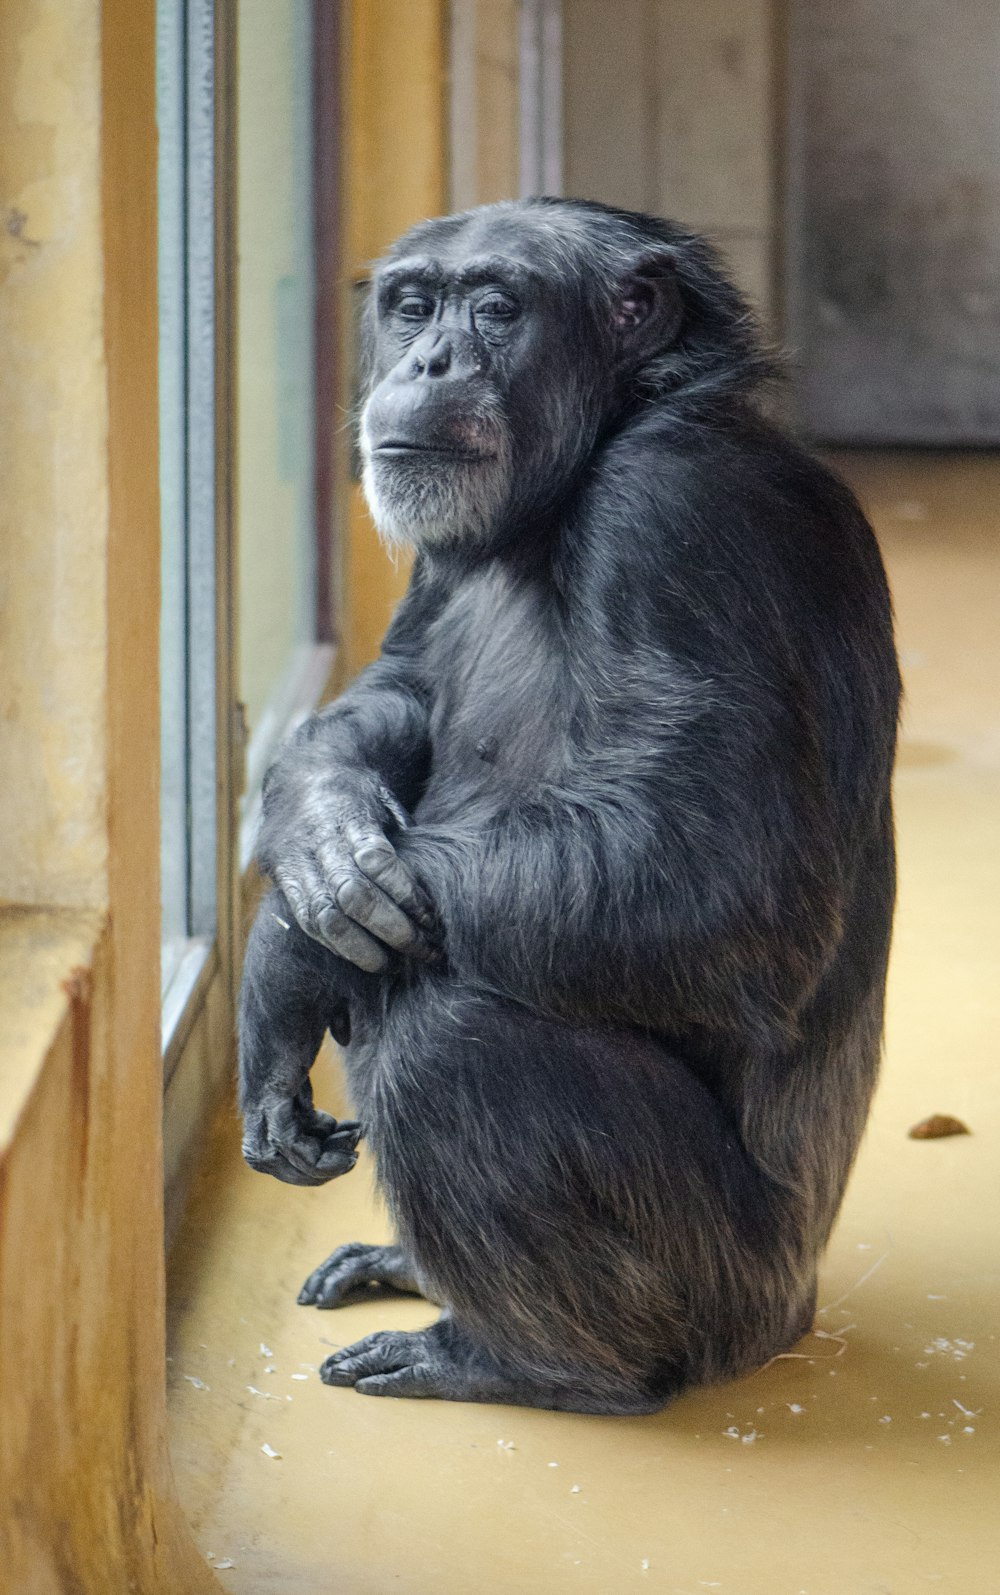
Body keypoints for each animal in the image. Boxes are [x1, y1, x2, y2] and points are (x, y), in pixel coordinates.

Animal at [239, 196, 905, 1409]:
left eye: (498, 309)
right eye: (415, 304)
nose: (429, 358)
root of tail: (794, 1311)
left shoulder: (677, 517)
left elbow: (720, 878)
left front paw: (276, 957)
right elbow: (400, 685)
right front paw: (314, 838)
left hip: (724, 1288)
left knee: (448, 1034)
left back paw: (512, 1357)